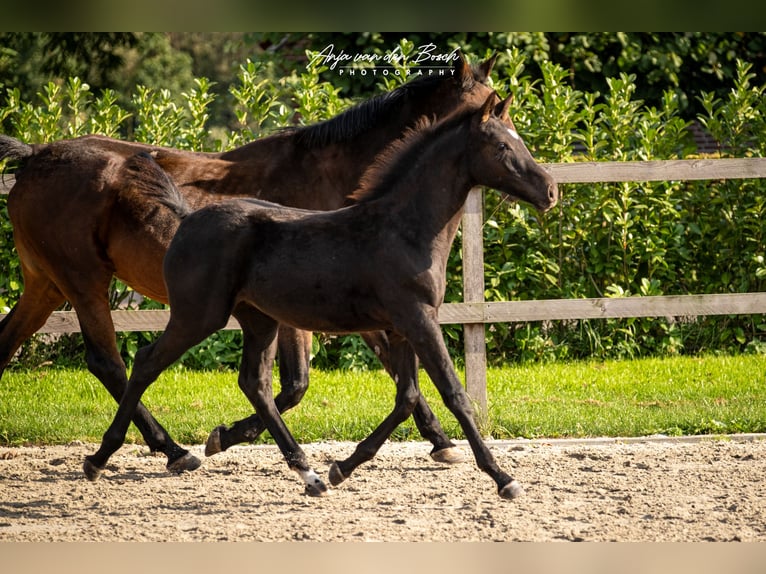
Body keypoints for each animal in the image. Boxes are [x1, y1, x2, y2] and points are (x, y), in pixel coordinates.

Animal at [0, 52, 497, 473]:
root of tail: (36, 156)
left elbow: (389, 372)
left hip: (45, 284)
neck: (334, 179)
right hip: (84, 282)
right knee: (110, 362)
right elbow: (297, 386)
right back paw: (171, 450)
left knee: (10, 343)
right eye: (491, 112)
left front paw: (441, 442)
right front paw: (228, 437)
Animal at [83, 92, 558, 499]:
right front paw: (503, 478)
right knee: (146, 363)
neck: (405, 229)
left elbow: (406, 398)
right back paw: (103, 458)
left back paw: (306, 472)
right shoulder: (419, 319)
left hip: (259, 319)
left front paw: (342, 468)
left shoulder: (401, 327)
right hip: (198, 315)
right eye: (502, 146)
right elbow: (454, 395)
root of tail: (186, 218)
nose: (551, 190)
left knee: (254, 383)